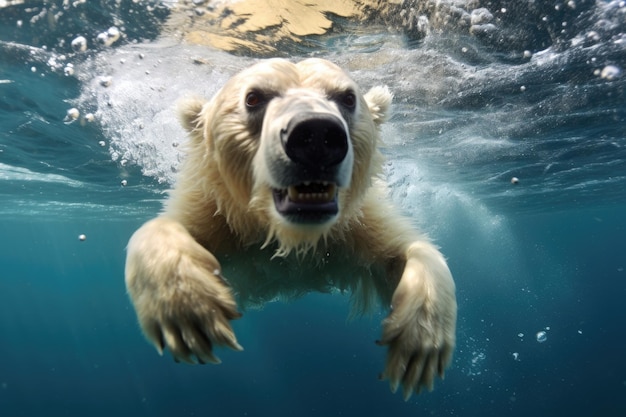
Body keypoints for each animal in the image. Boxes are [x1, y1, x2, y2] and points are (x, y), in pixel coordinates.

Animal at [124, 57, 456, 398]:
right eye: (253, 97)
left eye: (348, 98)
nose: (317, 135)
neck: (289, 236)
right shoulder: (218, 216)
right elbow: (167, 227)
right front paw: (187, 308)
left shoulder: (355, 225)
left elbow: (405, 251)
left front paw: (421, 342)